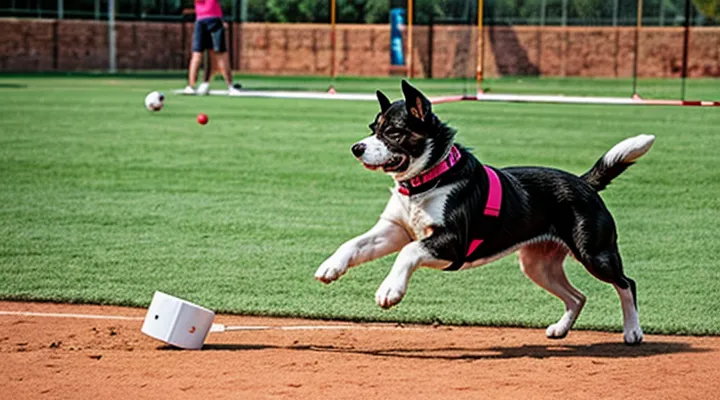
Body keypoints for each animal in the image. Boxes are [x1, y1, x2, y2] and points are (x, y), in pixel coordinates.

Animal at [316, 80, 652, 344]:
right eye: (373, 129)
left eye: (394, 132)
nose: (356, 148)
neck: (429, 179)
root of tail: (584, 183)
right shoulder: (393, 229)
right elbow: (354, 244)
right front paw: (331, 267)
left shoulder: (453, 242)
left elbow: (408, 252)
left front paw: (390, 290)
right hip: (538, 264)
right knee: (578, 295)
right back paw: (560, 329)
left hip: (595, 252)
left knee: (626, 283)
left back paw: (633, 332)